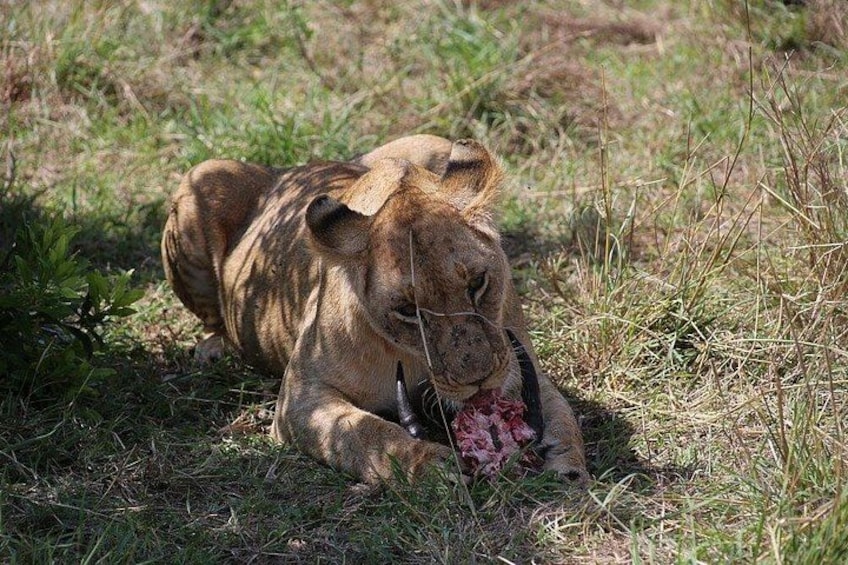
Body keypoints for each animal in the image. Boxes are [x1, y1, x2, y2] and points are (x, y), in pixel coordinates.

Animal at [161, 134, 588, 484]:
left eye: (477, 283)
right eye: (407, 309)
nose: (479, 380)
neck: (413, 358)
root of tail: (286, 169)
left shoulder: (519, 362)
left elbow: (563, 415)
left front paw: (568, 468)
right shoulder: (299, 400)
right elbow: (364, 434)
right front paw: (429, 467)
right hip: (202, 176)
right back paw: (212, 349)